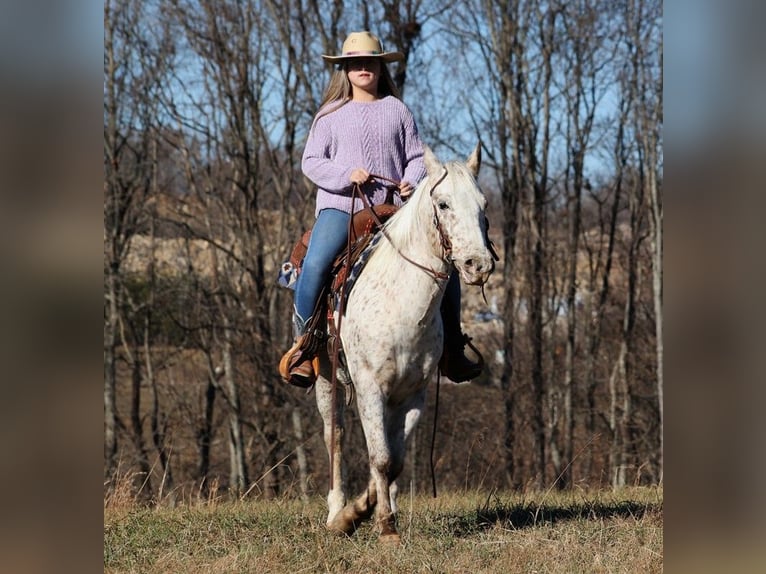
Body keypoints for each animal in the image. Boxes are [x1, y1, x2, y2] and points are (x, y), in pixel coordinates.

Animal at [314, 143, 498, 544]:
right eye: (443, 204)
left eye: (483, 204)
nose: (478, 265)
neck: (399, 303)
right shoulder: (369, 387)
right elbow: (381, 457)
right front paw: (372, 522)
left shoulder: (414, 392)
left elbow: (393, 460)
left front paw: (371, 511)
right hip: (325, 380)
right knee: (334, 436)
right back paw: (335, 513)